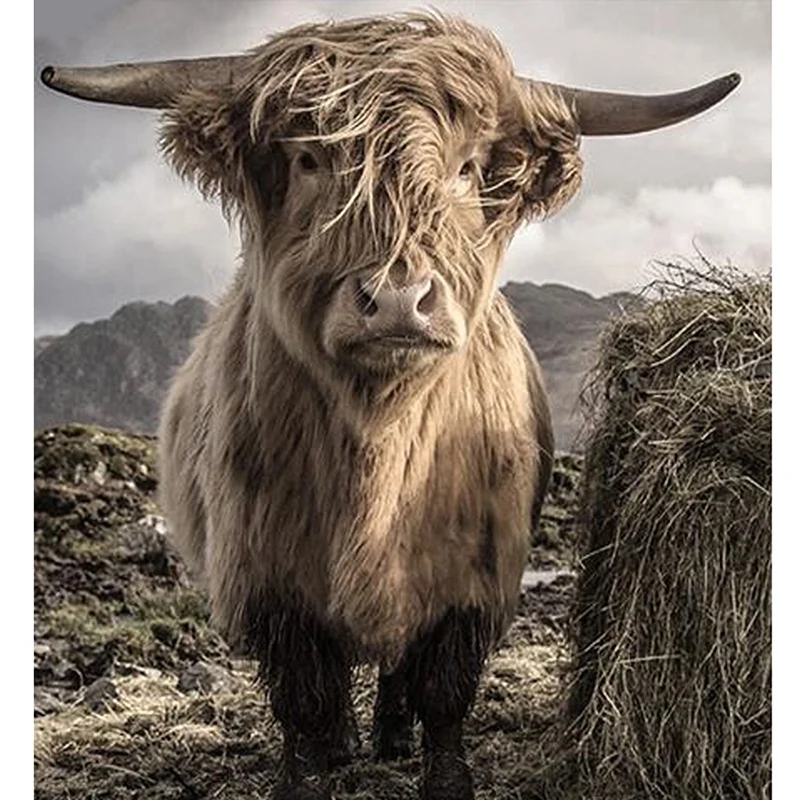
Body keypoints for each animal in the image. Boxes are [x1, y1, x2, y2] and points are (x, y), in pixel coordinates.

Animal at [40, 12, 739, 800]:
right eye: (309, 158)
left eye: (467, 167)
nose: (400, 299)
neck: (378, 438)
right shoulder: (270, 579)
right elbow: (305, 700)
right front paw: (308, 776)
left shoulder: (472, 579)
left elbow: (444, 691)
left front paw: (445, 778)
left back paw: (391, 735)